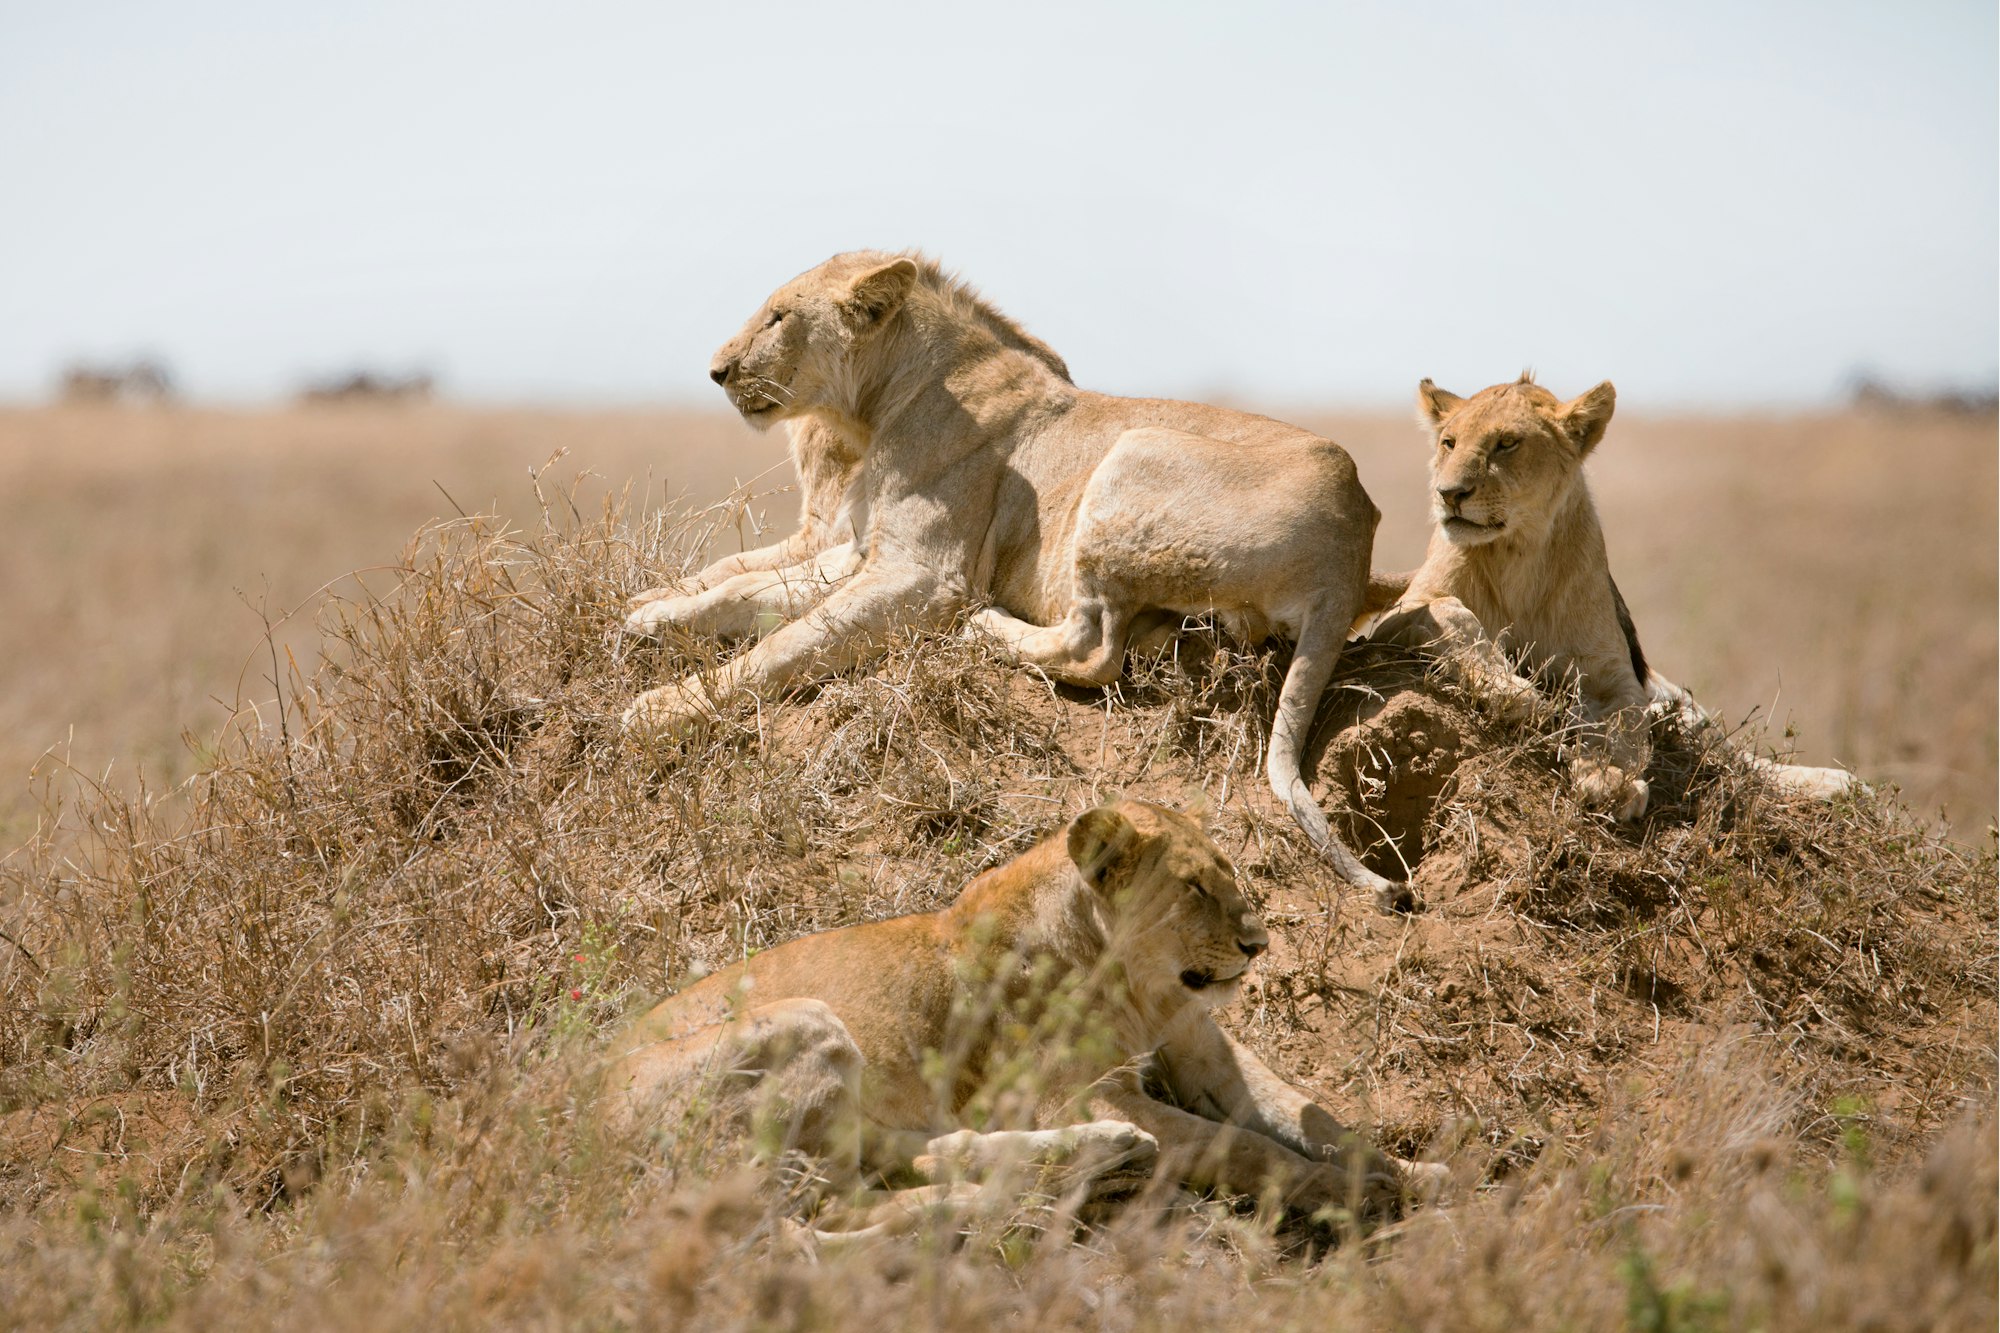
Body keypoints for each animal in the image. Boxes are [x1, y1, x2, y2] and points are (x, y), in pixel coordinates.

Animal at [600, 792, 1432, 1232]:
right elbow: (1247, 1147)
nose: (1258, 944)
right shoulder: (1086, 1090)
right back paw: (1005, 1192)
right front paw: (1349, 1195)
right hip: (806, 1021)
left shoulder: (1206, 1054)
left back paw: (1089, 1155)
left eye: (1232, 875)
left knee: (911, 1157)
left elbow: (1305, 1114)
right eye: (1195, 887)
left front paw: (1415, 1171)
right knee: (831, 1208)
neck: (1140, 984)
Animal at [624, 252, 1408, 904]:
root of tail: (1353, 540)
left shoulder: (924, 574)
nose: (716, 371)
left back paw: (982, 628)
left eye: (779, 316)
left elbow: (786, 642)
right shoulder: (860, 554)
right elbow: (739, 590)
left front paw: (660, 708)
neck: (884, 398)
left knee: (1092, 649)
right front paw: (648, 615)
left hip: (1129, 454)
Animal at [1360, 368, 1856, 816]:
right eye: (1449, 442)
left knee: (1739, 760)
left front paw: (1609, 780)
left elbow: (1621, 727)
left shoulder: (1612, 673)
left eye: (1506, 443)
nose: (1448, 493)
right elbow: (1453, 613)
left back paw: (1837, 783)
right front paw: (1513, 693)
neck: (1517, 553)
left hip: (1680, 703)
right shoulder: (1401, 613)